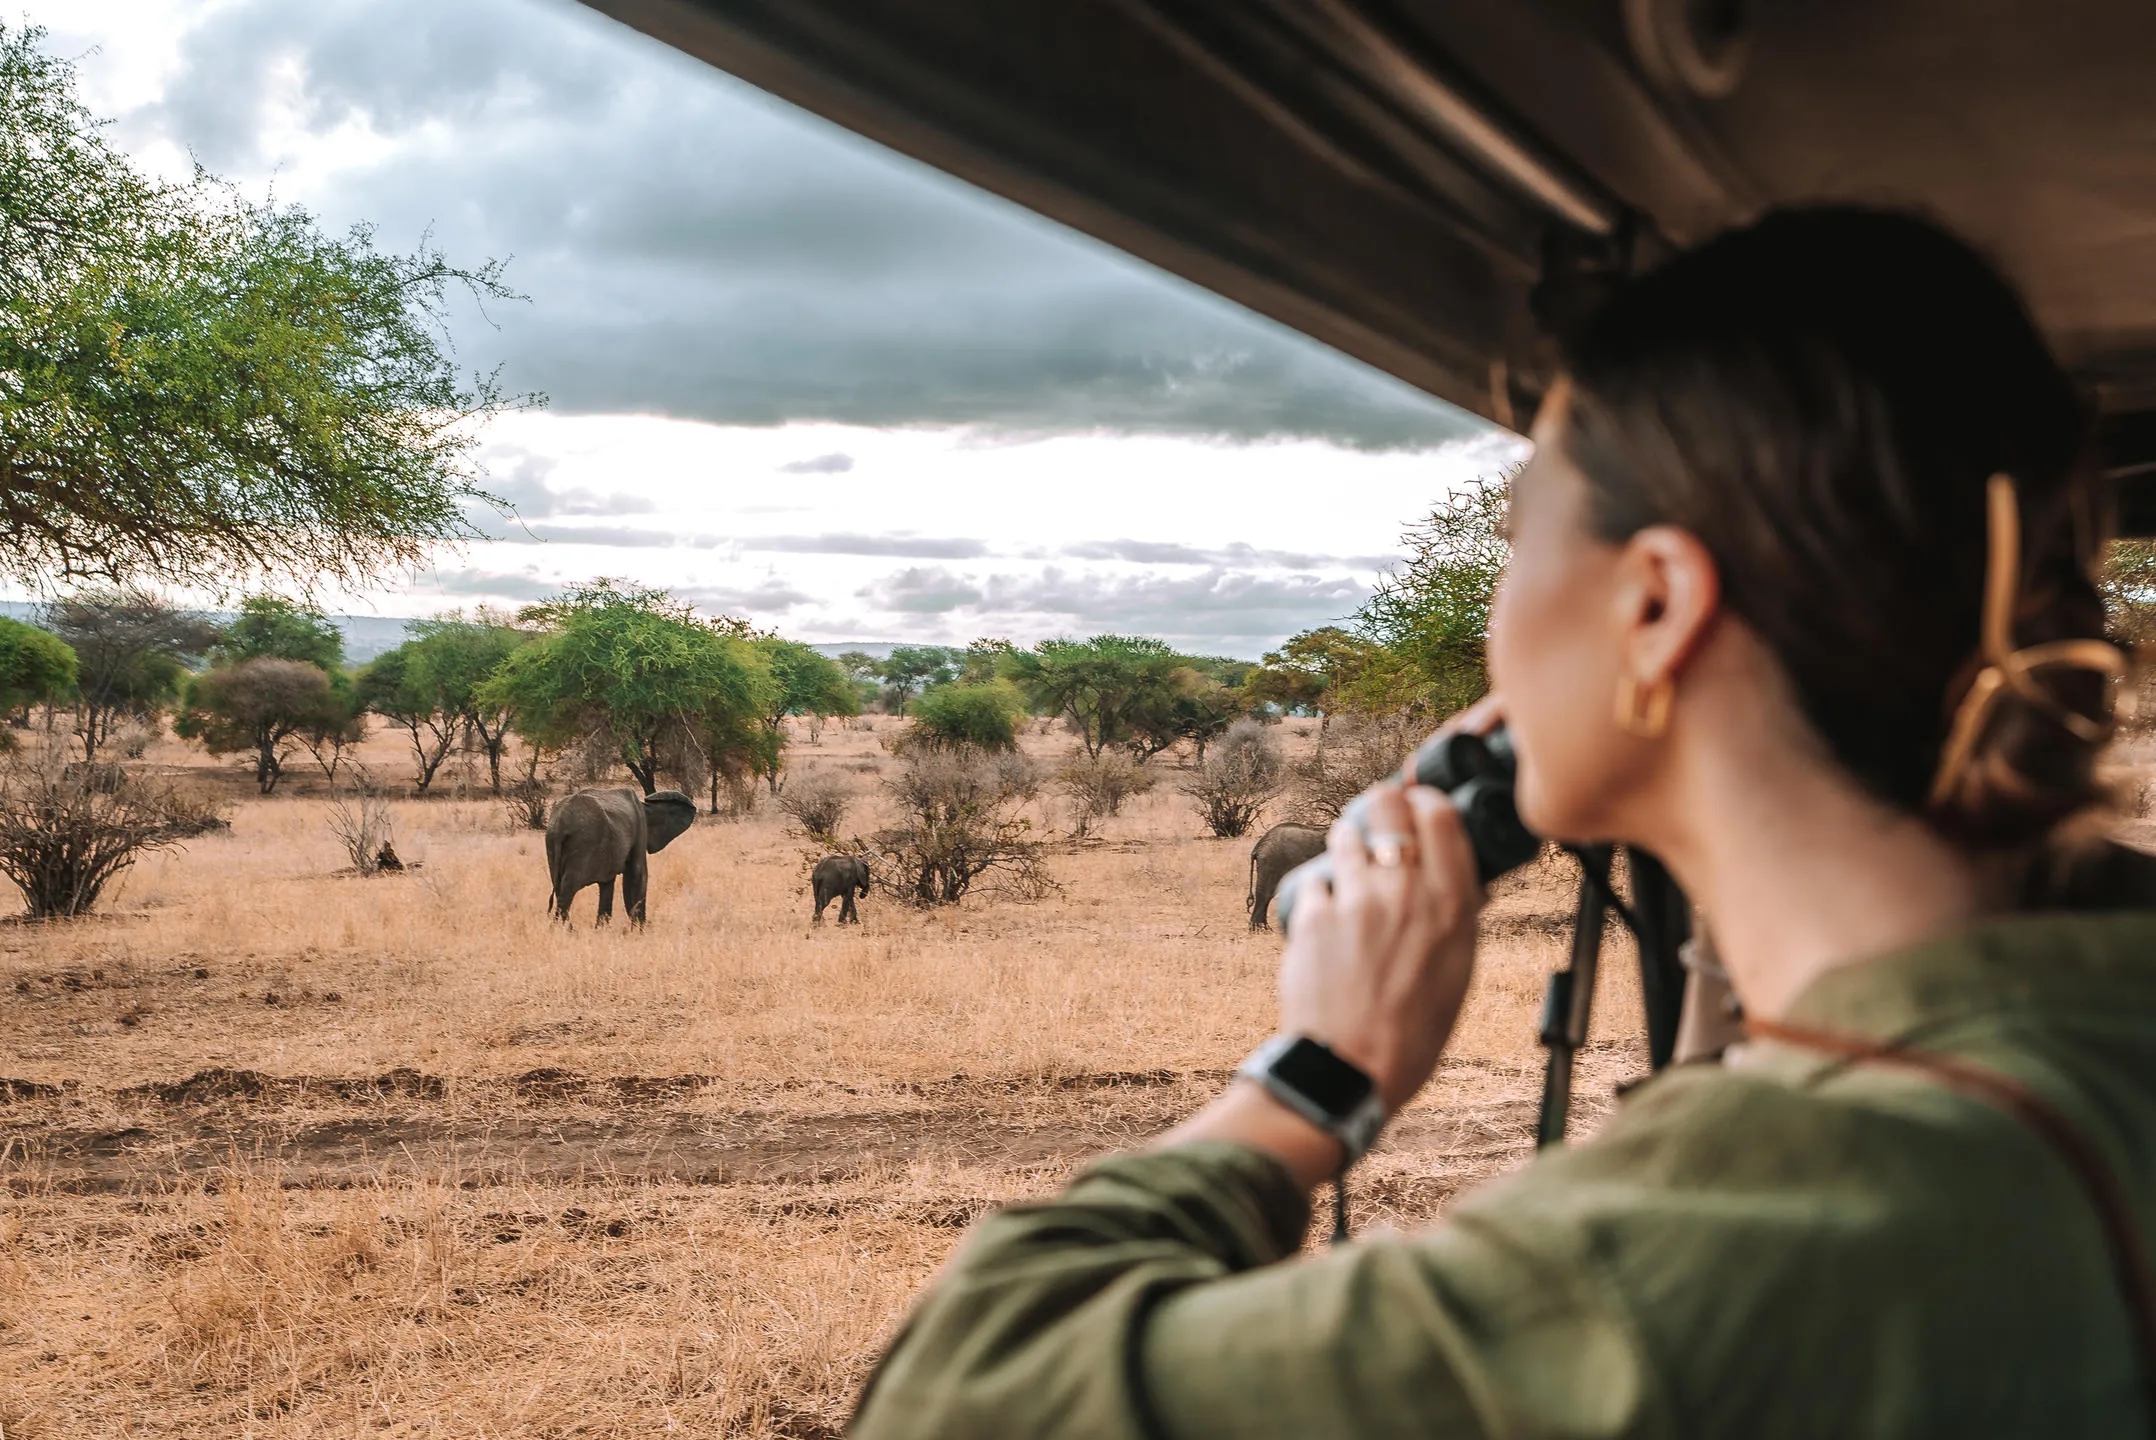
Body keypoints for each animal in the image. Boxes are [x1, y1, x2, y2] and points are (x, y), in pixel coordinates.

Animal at [544, 787, 697, 927]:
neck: (645, 806)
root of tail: (559, 825)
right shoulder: (640, 830)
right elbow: (637, 875)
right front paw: (640, 930)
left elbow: (608, 884)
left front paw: (602, 929)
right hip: (582, 843)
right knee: (568, 888)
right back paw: (566, 930)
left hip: (552, 845)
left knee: (558, 886)